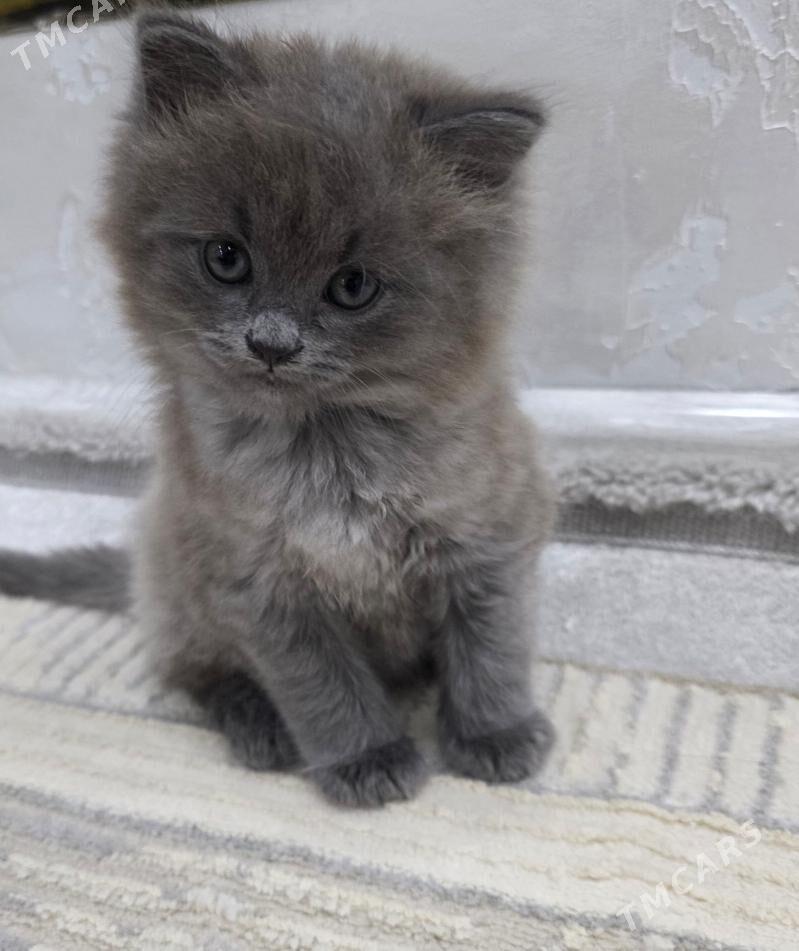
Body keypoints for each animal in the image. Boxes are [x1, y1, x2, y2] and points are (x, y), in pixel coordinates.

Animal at [0, 12, 555, 807]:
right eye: (227, 258)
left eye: (353, 286)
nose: (271, 341)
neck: (326, 453)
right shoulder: (255, 582)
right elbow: (323, 685)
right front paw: (368, 757)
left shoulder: (491, 534)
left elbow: (492, 648)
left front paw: (494, 734)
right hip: (177, 580)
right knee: (194, 669)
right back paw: (256, 722)